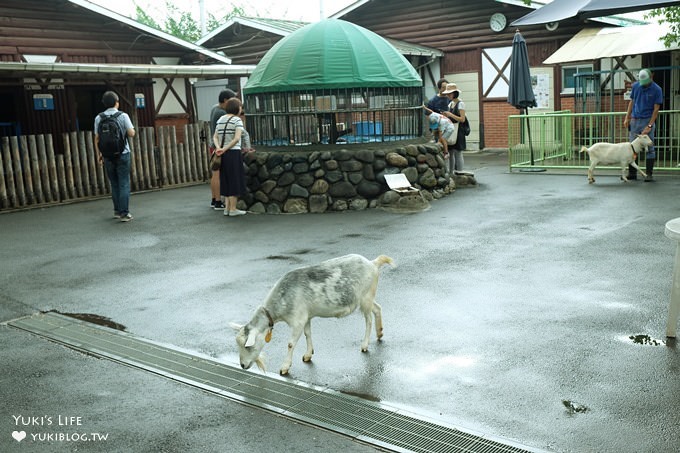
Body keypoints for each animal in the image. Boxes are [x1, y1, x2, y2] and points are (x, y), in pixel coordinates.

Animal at [234, 254, 394, 374]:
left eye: (247, 346)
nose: (242, 365)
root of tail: (373, 263)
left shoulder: (298, 320)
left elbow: (290, 344)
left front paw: (285, 367)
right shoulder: (306, 317)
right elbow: (308, 334)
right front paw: (308, 355)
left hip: (365, 297)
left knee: (368, 319)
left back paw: (365, 344)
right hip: (367, 298)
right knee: (377, 308)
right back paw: (380, 333)